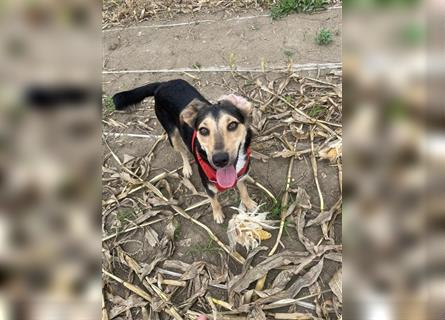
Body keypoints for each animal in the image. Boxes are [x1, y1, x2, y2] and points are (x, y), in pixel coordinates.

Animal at [112, 80, 255, 224]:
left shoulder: (241, 177)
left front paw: (249, 203)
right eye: (203, 130)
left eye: (232, 125)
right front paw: (217, 214)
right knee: (182, 152)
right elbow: (214, 201)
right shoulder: (208, 187)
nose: (219, 160)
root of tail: (163, 84)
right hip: (173, 136)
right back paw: (186, 168)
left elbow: (244, 190)